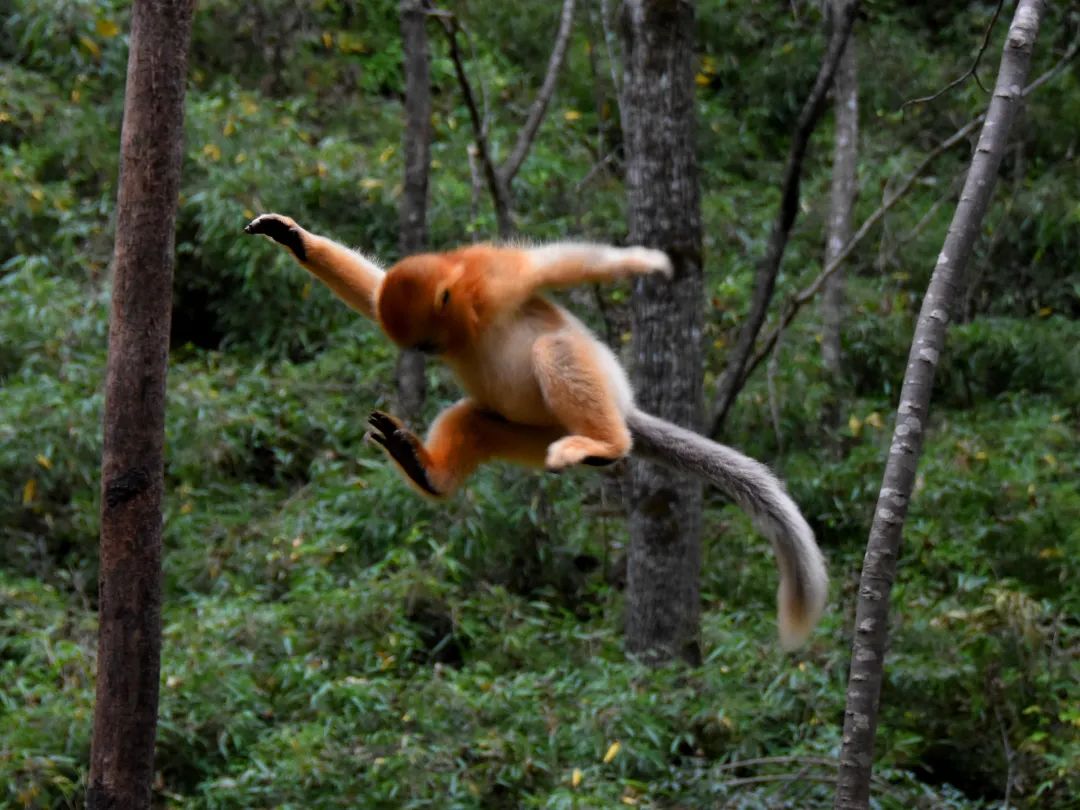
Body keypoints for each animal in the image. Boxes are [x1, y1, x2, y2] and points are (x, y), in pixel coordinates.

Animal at [243, 212, 825, 652]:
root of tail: (622, 411)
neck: (468, 321)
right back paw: (424, 468)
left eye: (428, 341)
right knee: (477, 422)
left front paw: (650, 261)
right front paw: (292, 237)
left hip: (588, 400)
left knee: (555, 348)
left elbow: (560, 265)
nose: (423, 353)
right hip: (531, 433)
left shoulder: (494, 276)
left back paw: (606, 446)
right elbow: (372, 294)